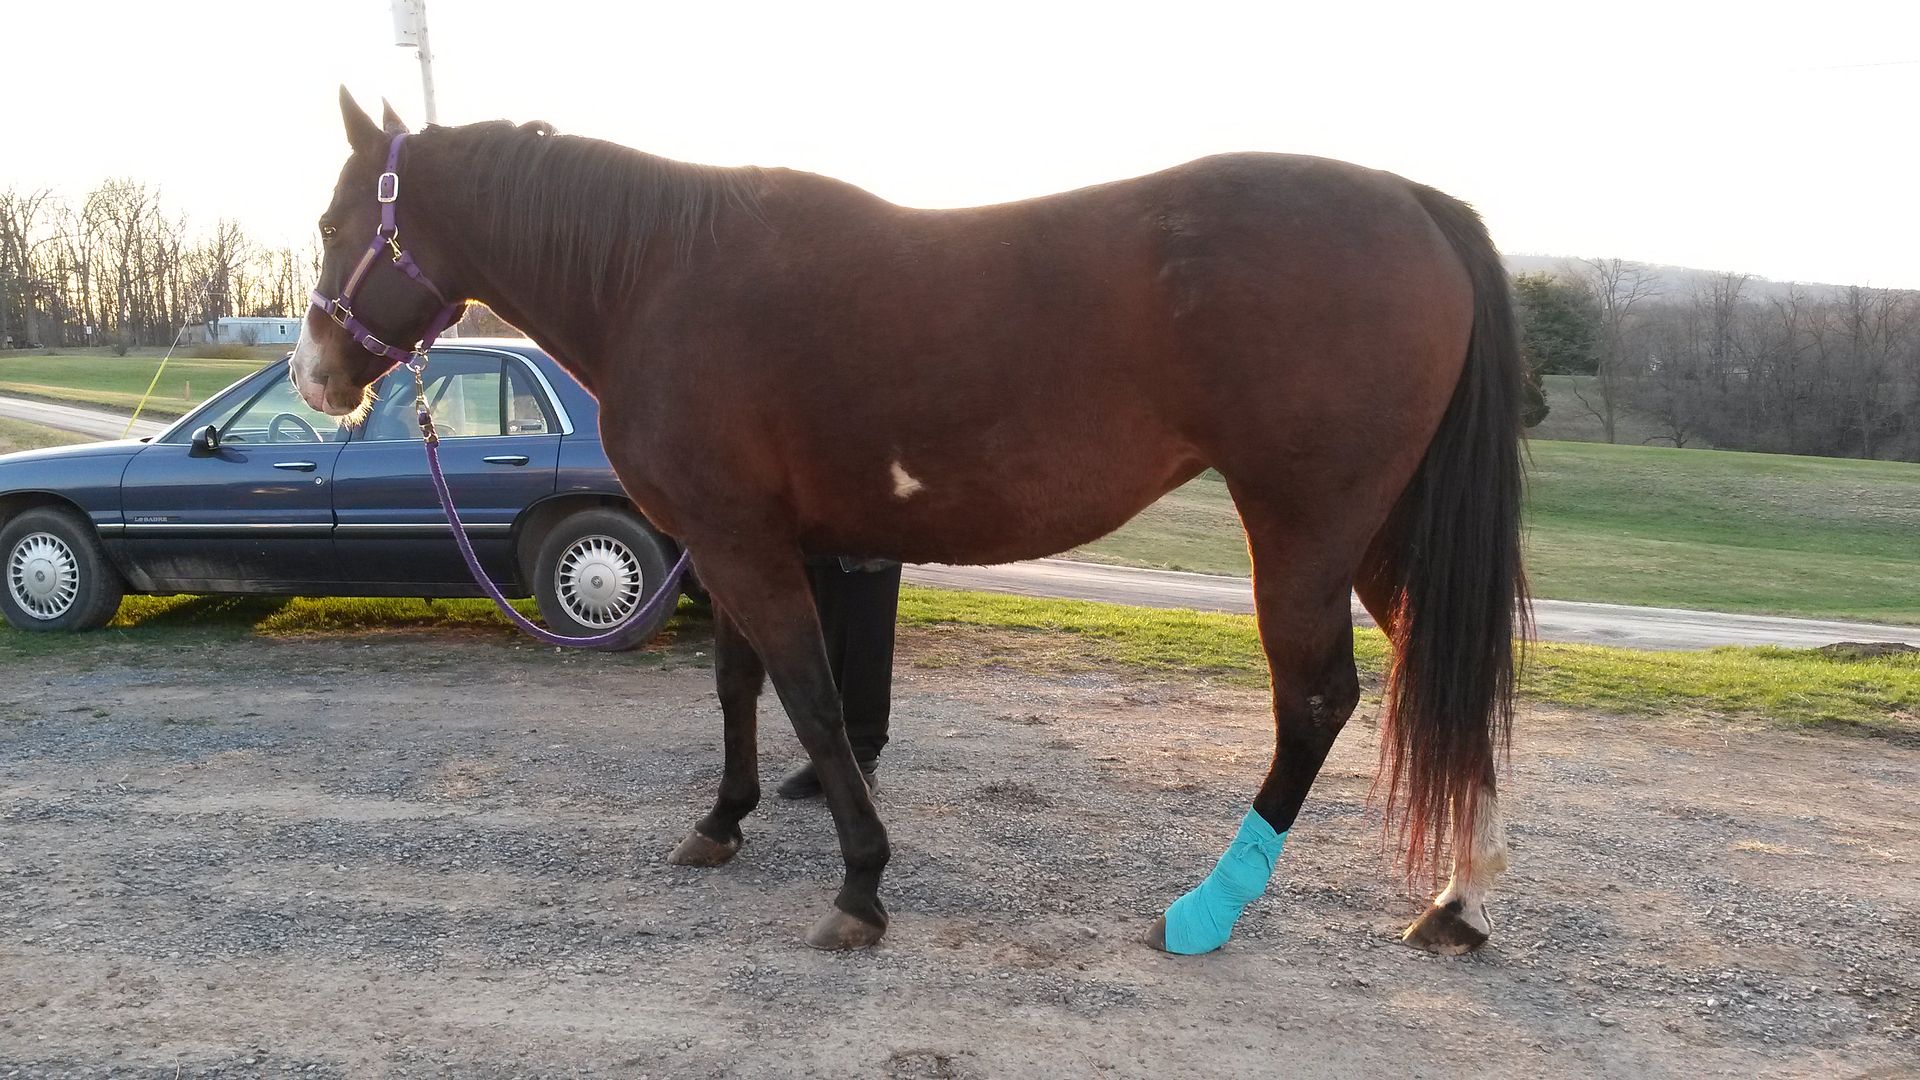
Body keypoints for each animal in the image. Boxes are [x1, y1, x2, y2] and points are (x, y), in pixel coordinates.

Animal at [294, 89, 1530, 956]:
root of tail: (1411, 202)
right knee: (1439, 669)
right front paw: (724, 821)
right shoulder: (736, 538)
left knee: (1318, 701)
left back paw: (1208, 908)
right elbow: (740, 687)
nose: (315, 377)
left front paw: (860, 885)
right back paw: (1460, 903)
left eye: (334, 221)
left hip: (1305, 527)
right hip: (1385, 534)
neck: (659, 278)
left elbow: (813, 698)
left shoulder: (745, 546)